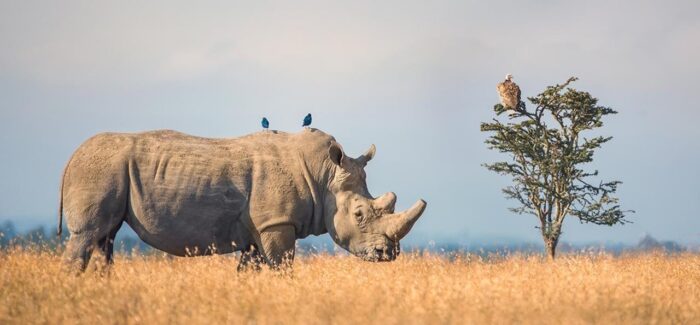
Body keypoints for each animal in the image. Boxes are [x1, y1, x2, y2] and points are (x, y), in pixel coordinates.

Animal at [58, 128, 426, 270]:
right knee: (88, 235)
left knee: (105, 239)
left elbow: (251, 271)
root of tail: (71, 157)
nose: (388, 254)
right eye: (360, 214)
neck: (323, 177)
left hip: (108, 171)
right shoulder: (276, 224)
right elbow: (282, 267)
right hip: (99, 169)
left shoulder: (261, 228)